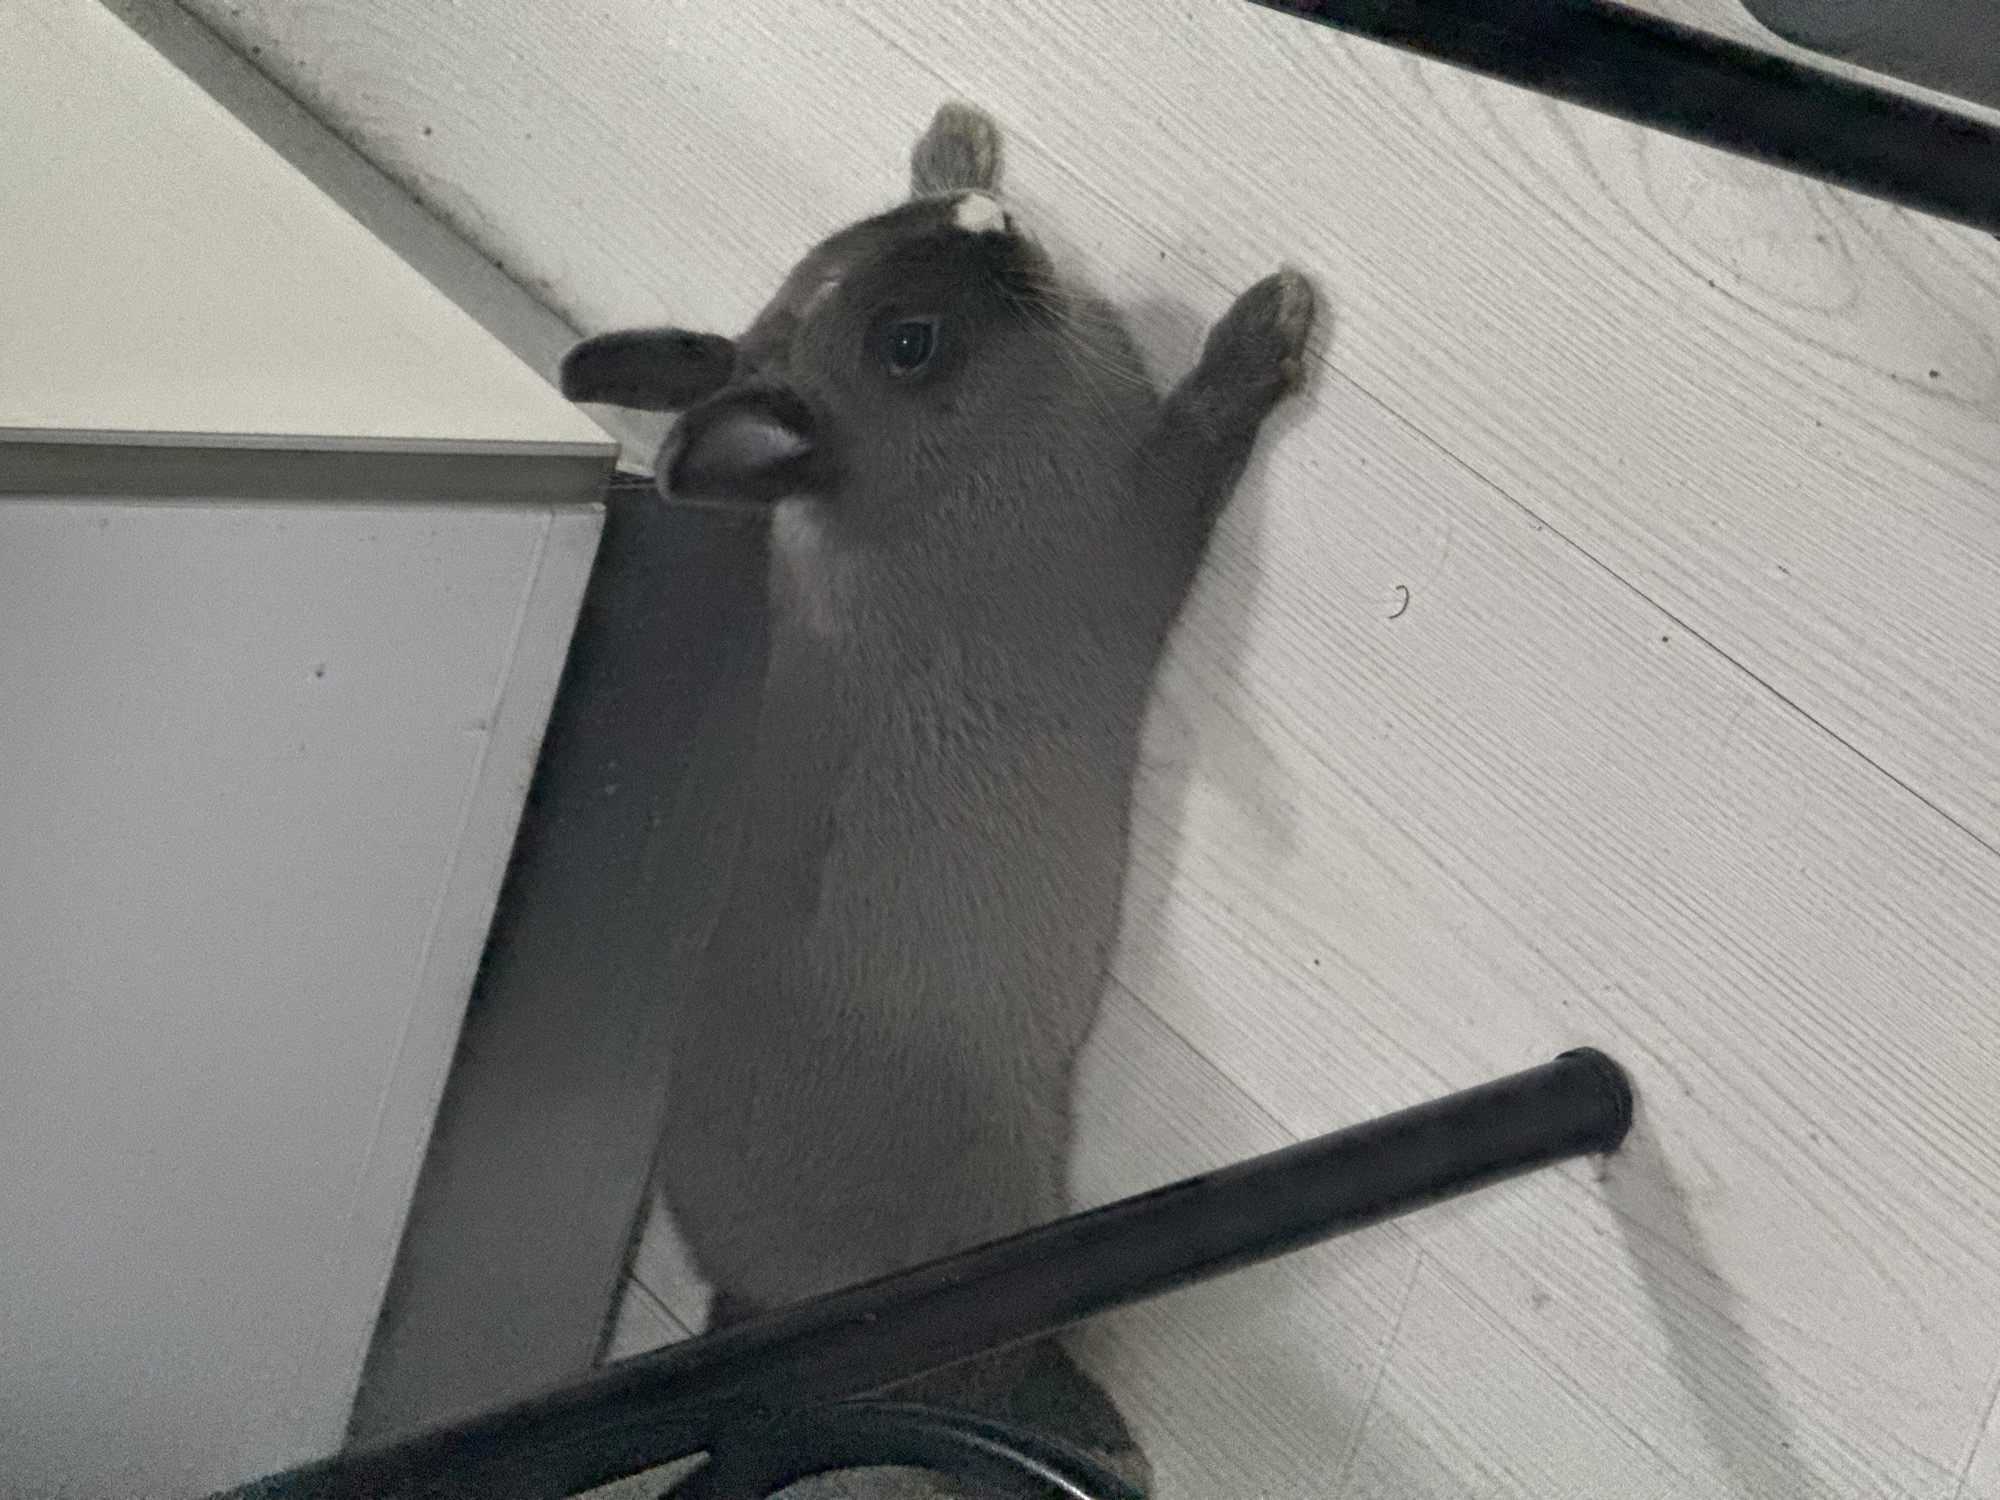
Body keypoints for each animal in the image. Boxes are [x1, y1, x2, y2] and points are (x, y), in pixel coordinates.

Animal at [560, 103, 1315, 1492]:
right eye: (907, 346)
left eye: (879, 231)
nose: (990, 226)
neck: (929, 469)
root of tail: (765, 1327)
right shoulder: (1139, 526)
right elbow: (1201, 436)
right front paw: (1268, 321)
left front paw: (955, 142)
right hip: (1004, 1236)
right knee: (985, 1369)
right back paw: (1096, 1432)